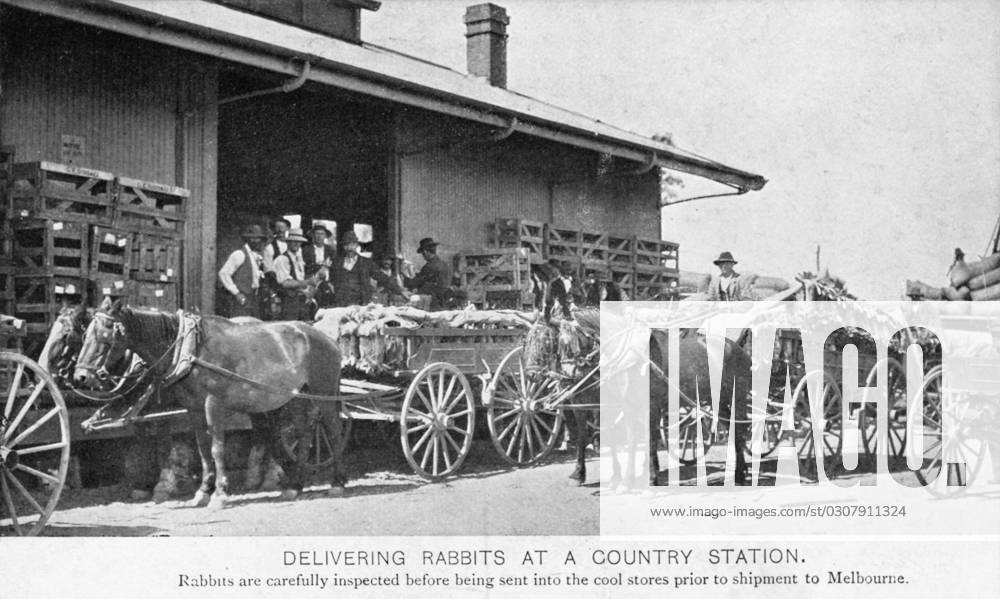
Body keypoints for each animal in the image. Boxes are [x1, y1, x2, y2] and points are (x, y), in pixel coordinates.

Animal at [72, 302, 346, 508]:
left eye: (105, 337)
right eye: (84, 336)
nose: (80, 377)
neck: (191, 349)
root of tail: (329, 339)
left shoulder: (214, 403)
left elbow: (217, 448)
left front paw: (220, 494)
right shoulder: (194, 408)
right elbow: (203, 449)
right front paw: (203, 491)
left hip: (324, 393)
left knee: (333, 431)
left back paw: (337, 483)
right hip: (299, 397)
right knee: (304, 433)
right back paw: (295, 485)